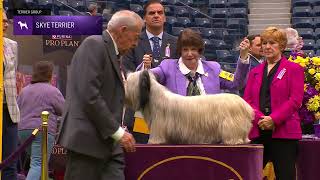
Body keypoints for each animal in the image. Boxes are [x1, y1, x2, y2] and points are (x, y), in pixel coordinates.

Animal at [124, 70, 252, 145]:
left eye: (128, 82)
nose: (123, 87)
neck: (153, 96)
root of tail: (244, 105)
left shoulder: (159, 124)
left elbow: (157, 136)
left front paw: (154, 142)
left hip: (230, 124)